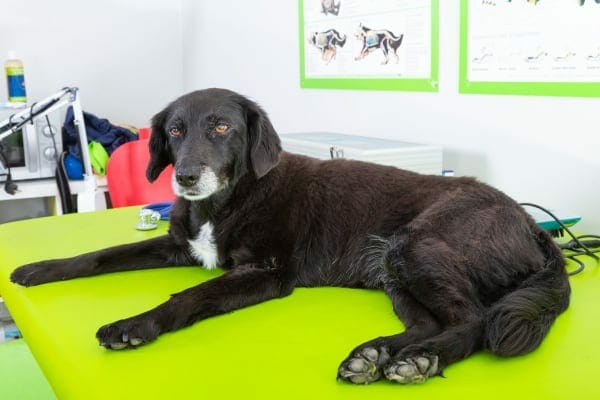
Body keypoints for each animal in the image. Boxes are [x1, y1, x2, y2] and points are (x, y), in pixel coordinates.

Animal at [11, 88, 568, 384]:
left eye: (221, 127)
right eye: (173, 131)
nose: (185, 177)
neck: (229, 200)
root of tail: (532, 226)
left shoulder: (266, 273)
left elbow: (191, 295)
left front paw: (136, 323)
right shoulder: (177, 247)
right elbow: (102, 253)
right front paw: (39, 268)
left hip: (417, 247)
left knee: (472, 319)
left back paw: (420, 362)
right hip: (393, 265)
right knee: (430, 321)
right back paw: (377, 354)